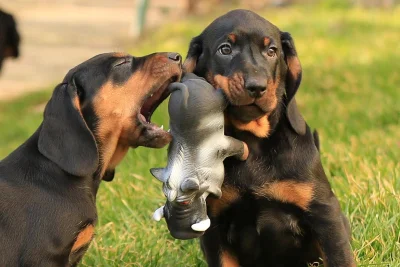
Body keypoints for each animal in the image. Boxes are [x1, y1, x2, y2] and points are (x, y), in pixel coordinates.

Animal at [183, 9, 354, 266]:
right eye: (225, 49)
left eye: (271, 51)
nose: (256, 86)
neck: (251, 144)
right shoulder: (213, 226)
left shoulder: (325, 212)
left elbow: (340, 257)